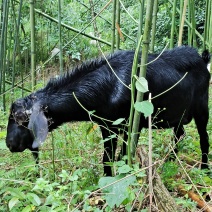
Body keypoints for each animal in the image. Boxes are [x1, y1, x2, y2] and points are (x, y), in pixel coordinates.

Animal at [5, 46, 210, 176]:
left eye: (22, 119)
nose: (9, 144)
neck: (107, 85)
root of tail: (203, 59)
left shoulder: (128, 126)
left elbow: (120, 155)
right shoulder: (108, 126)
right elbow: (111, 156)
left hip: (201, 108)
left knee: (204, 138)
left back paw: (204, 168)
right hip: (178, 115)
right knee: (179, 134)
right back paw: (169, 162)